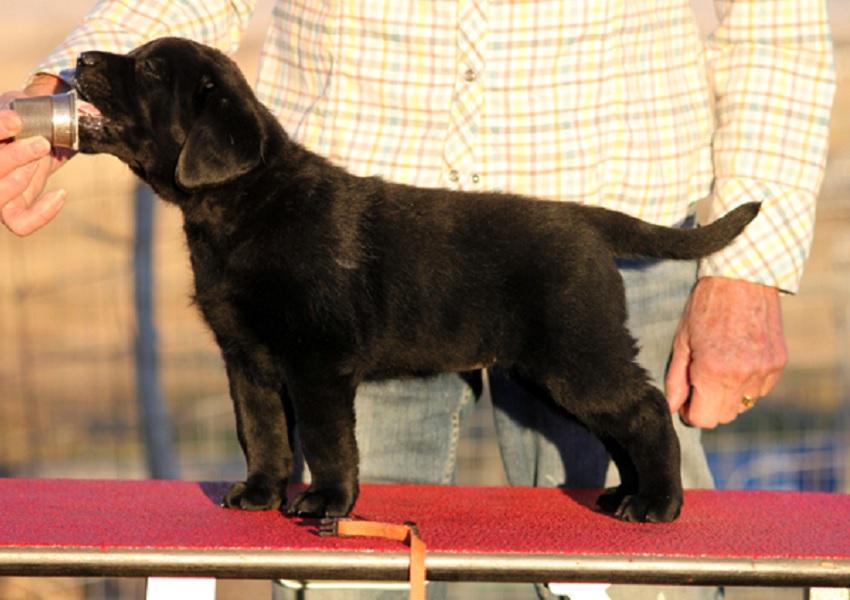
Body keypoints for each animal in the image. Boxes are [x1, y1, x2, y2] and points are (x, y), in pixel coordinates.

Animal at [74, 37, 756, 524]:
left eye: (151, 70)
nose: (80, 59)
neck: (245, 207)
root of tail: (586, 219)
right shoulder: (246, 358)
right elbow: (260, 431)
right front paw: (259, 494)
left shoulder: (317, 361)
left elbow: (326, 439)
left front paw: (326, 503)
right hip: (556, 371)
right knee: (621, 426)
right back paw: (623, 498)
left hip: (577, 356)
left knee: (646, 410)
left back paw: (658, 504)